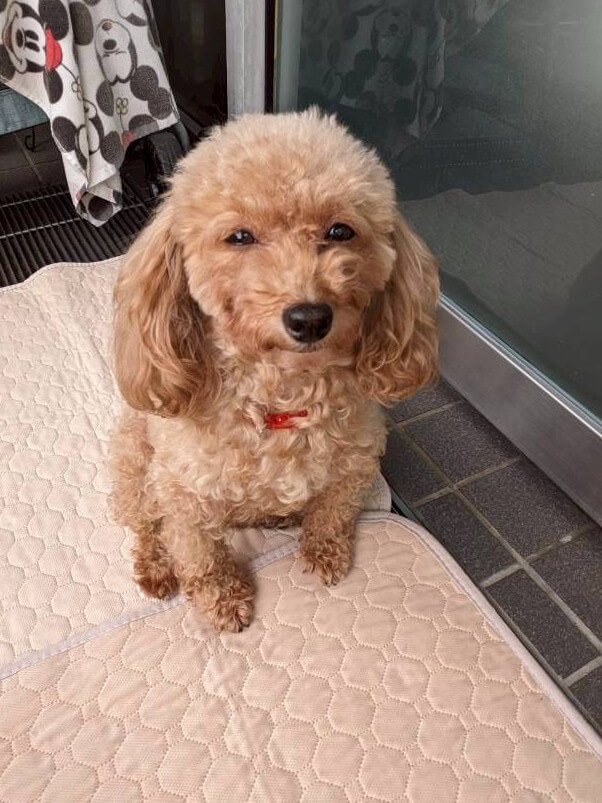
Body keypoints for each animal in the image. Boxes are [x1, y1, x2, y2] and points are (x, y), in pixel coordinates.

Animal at [108, 109, 438, 632]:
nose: (309, 318)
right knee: (144, 524)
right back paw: (157, 569)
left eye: (340, 231)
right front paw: (222, 599)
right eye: (240, 237)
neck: (283, 394)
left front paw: (325, 552)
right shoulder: (183, 490)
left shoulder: (354, 465)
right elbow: (199, 553)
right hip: (133, 463)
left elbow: (332, 513)